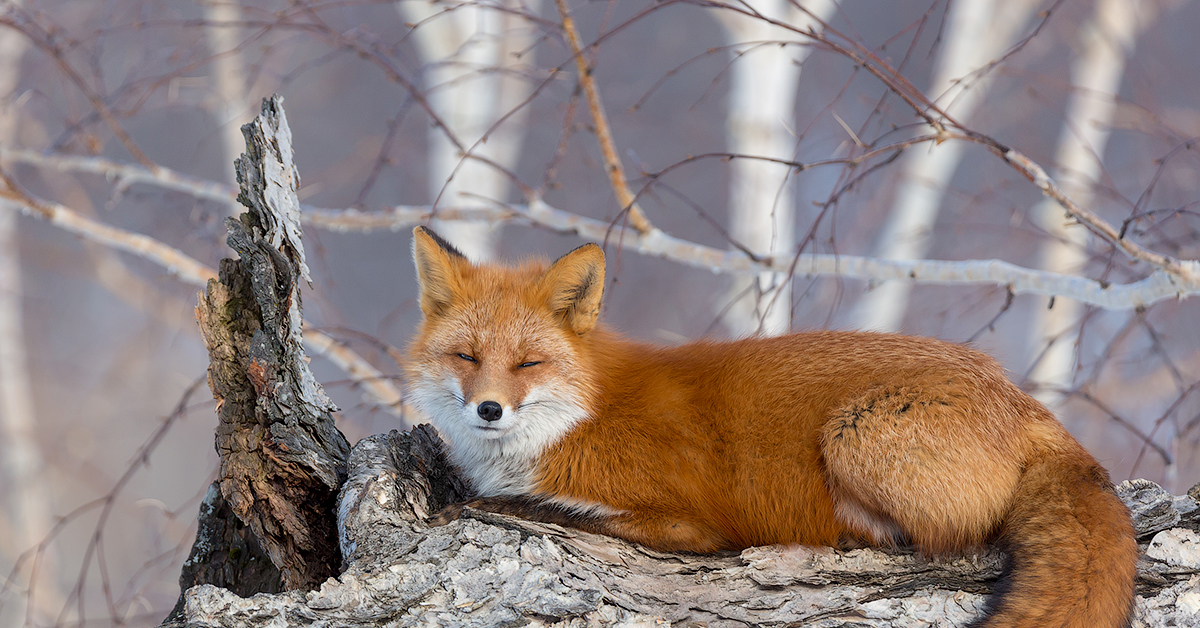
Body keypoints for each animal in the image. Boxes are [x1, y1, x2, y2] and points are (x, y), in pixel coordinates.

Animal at [403, 226, 1132, 628]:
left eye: (527, 363)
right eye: (467, 357)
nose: (488, 409)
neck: (582, 415)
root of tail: (1019, 397)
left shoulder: (685, 524)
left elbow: (544, 509)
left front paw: (479, 506)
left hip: (853, 435)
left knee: (948, 536)